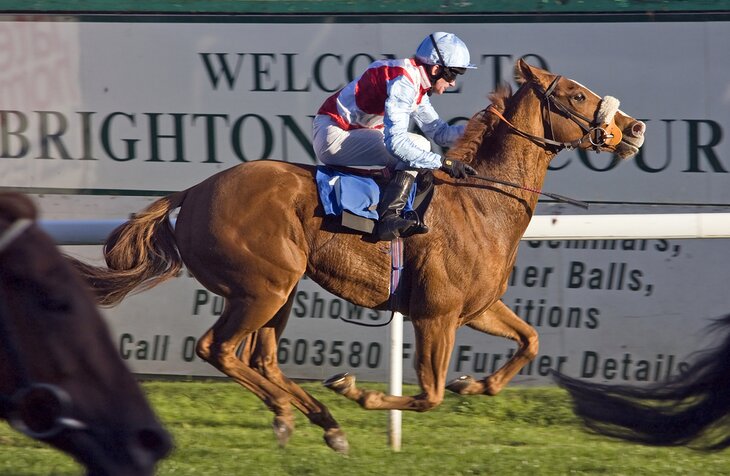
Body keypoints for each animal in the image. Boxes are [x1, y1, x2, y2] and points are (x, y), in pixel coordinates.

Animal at [68, 61, 644, 452]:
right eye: (575, 94)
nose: (633, 128)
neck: (483, 201)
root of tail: (192, 191)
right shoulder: (437, 315)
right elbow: (429, 394)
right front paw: (361, 392)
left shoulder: (476, 307)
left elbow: (529, 341)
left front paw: (474, 381)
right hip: (263, 287)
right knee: (219, 350)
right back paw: (296, 410)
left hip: (280, 289)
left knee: (261, 358)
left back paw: (319, 421)